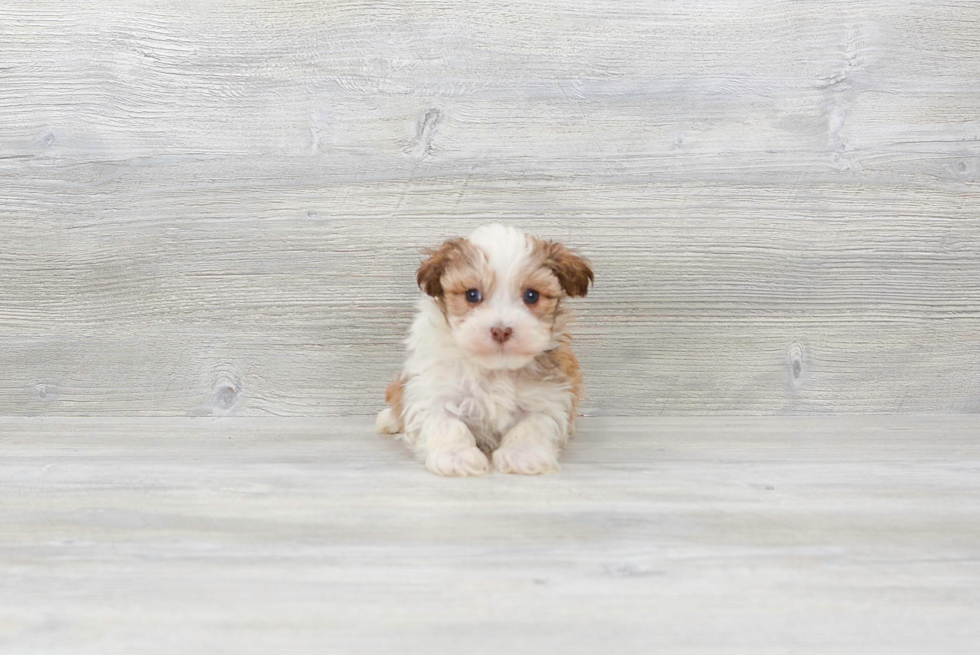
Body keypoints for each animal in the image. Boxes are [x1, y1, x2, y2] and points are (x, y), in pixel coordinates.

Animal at [374, 224, 588, 476]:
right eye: (472, 295)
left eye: (531, 295)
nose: (501, 330)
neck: (496, 370)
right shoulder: (435, 389)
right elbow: (447, 422)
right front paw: (456, 456)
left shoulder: (548, 396)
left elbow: (533, 424)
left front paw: (523, 455)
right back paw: (389, 420)